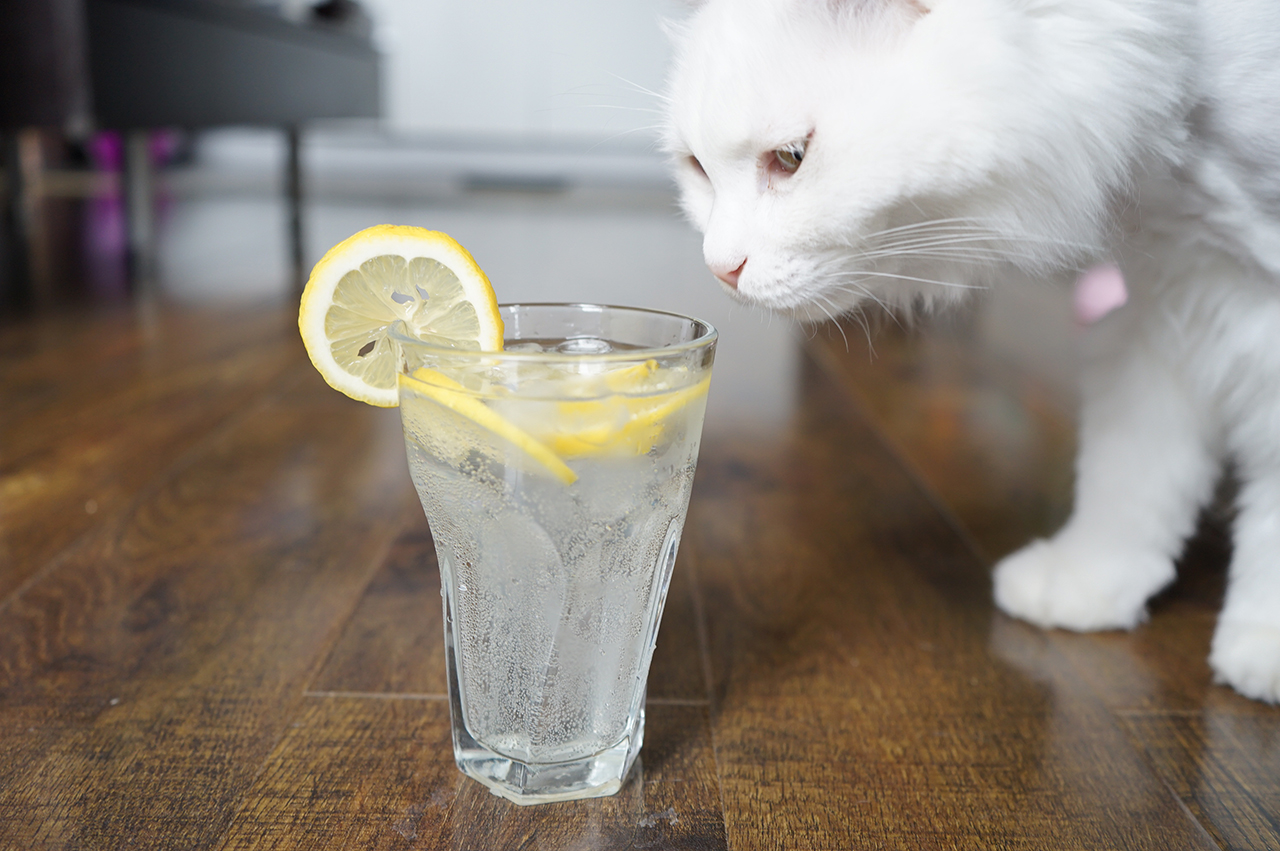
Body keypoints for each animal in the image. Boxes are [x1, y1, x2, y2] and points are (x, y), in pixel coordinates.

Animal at [665, 0, 1274, 701]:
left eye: (790, 157)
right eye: (697, 169)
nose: (718, 267)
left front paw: (1262, 640)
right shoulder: (1162, 310)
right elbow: (1133, 471)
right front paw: (1090, 580)